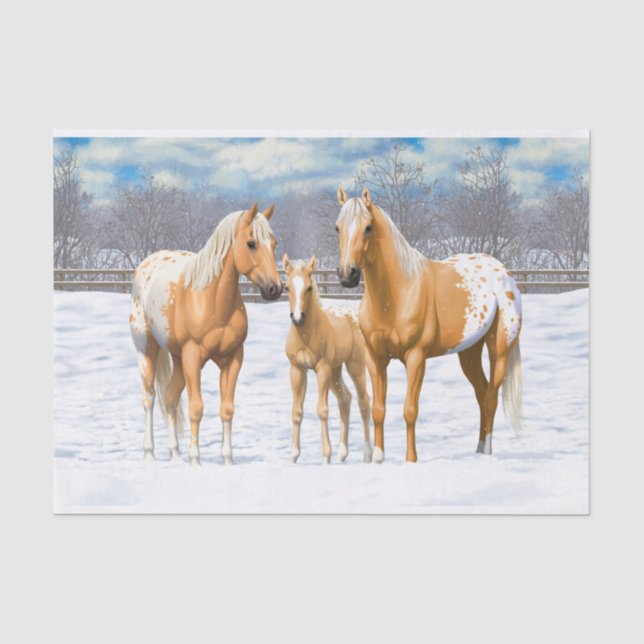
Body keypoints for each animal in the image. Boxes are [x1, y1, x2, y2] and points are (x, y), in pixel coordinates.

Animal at [129, 203, 282, 466]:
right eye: (251, 243)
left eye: (273, 244)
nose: (275, 288)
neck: (211, 300)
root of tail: (147, 264)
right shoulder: (193, 356)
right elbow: (196, 408)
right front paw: (195, 460)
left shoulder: (233, 358)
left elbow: (227, 409)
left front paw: (228, 460)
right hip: (147, 350)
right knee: (149, 398)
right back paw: (149, 453)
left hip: (178, 360)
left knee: (170, 398)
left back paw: (175, 455)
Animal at [283, 254, 373, 464]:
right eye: (287, 287)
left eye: (309, 287)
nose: (297, 317)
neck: (306, 336)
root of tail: (352, 316)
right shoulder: (297, 370)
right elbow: (296, 412)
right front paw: (294, 456)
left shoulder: (321, 369)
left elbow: (322, 410)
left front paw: (326, 456)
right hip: (335, 371)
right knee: (345, 399)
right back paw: (342, 454)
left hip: (354, 366)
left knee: (363, 402)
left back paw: (367, 455)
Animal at [335, 187, 523, 462]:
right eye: (337, 227)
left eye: (368, 227)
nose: (346, 275)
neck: (397, 293)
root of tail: (503, 271)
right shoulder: (375, 358)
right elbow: (378, 408)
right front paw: (379, 457)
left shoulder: (416, 357)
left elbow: (410, 409)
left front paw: (411, 459)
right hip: (469, 353)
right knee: (481, 393)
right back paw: (478, 448)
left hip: (500, 349)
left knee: (491, 396)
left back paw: (487, 451)